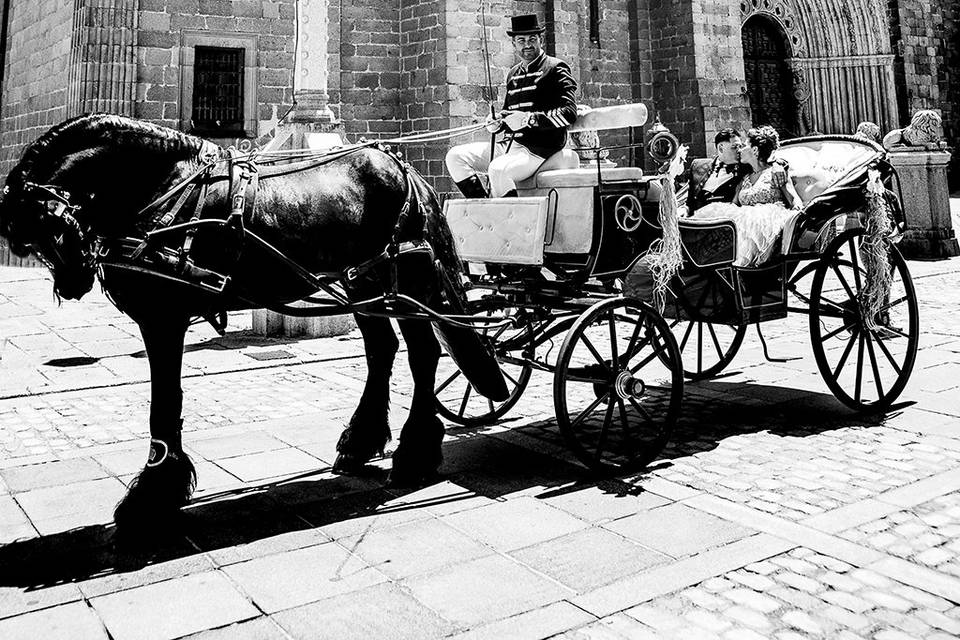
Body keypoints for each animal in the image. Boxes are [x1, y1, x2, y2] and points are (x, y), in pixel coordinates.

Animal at [0, 115, 506, 536]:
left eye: (40, 231)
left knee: (423, 353)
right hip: (363, 280)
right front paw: (159, 491)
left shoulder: (163, 317)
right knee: (382, 349)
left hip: (404, 279)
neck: (166, 186)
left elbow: (164, 401)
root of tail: (406, 170)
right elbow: (165, 401)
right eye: (28, 244)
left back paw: (415, 452)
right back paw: (362, 442)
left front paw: (151, 498)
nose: (74, 279)